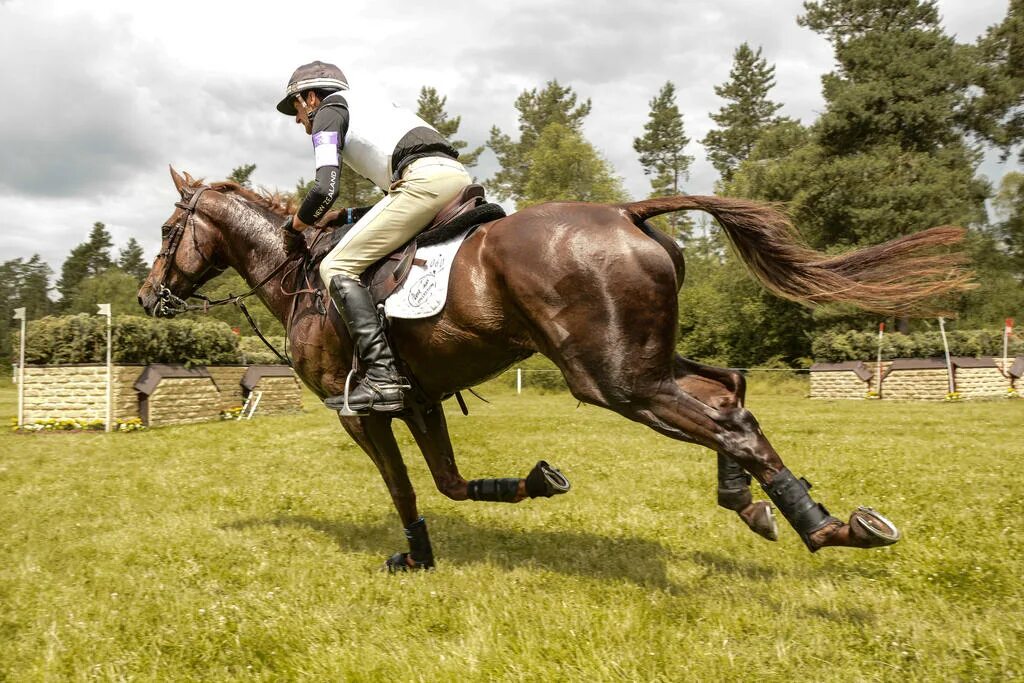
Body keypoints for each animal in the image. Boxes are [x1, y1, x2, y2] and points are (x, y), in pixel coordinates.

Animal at [138, 166, 966, 573]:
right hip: (643, 359)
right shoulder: (420, 399)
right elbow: (448, 480)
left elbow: (405, 486)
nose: (149, 296)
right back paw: (760, 507)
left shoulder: (360, 411)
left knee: (727, 421)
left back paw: (827, 529)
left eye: (169, 228)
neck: (304, 275)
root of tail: (628, 212)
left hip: (614, 379)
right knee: (731, 392)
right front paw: (535, 482)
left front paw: (417, 556)